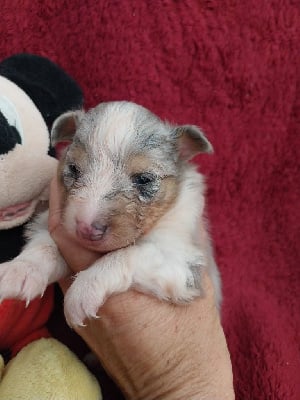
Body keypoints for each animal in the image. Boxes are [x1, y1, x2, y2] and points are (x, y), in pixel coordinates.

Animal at [0, 101, 220, 324]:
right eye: (74, 169)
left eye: (143, 179)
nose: (86, 229)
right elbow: (45, 245)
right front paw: (22, 269)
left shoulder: (182, 260)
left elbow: (127, 254)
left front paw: (84, 288)